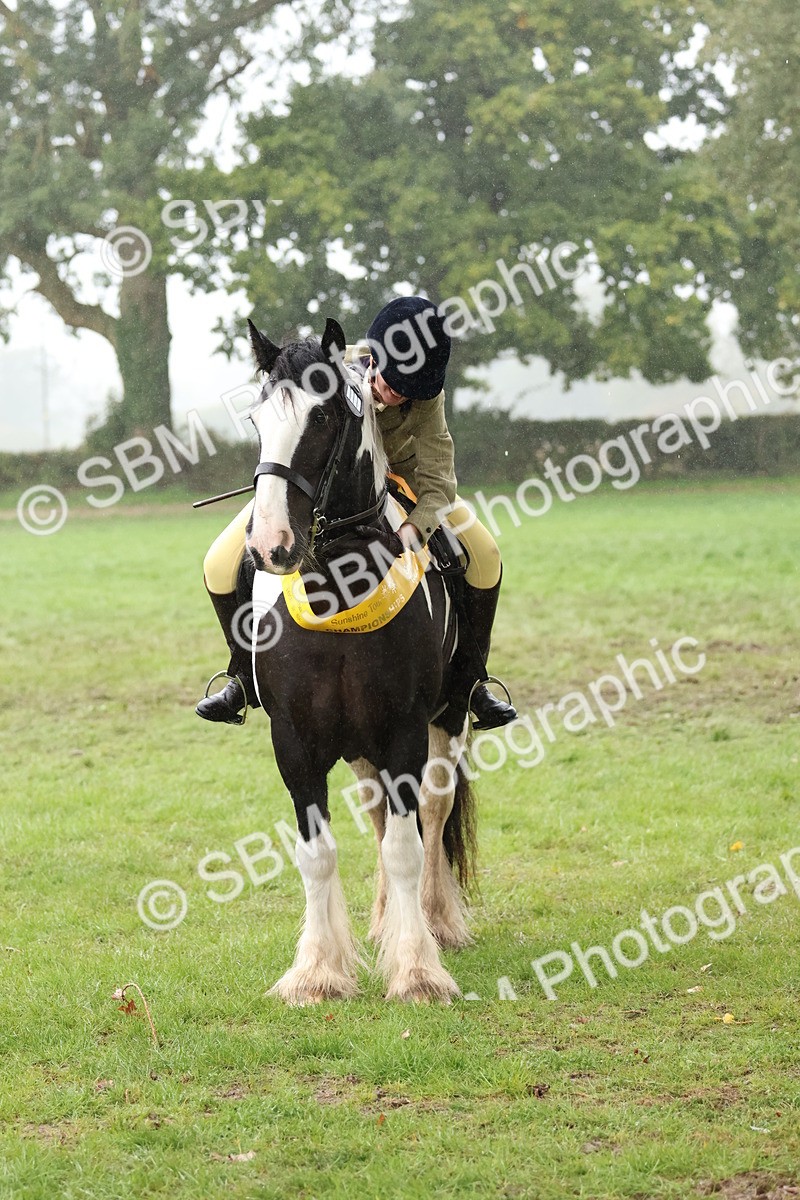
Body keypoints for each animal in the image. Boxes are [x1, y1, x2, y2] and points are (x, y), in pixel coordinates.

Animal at [243, 315, 477, 1004]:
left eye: (321, 417)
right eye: (256, 418)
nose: (271, 545)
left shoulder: (403, 731)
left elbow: (407, 844)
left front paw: (419, 971)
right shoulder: (295, 742)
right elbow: (317, 853)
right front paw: (318, 972)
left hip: (447, 719)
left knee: (432, 811)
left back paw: (433, 920)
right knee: (377, 813)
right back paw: (382, 923)